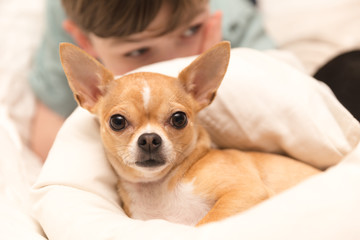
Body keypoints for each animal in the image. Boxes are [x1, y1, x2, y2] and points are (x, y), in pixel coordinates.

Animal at [59, 41, 320, 227]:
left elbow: (204, 224)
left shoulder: (245, 193)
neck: (158, 188)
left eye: (179, 119)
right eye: (117, 122)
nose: (149, 139)